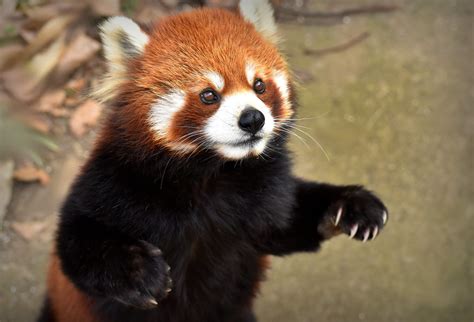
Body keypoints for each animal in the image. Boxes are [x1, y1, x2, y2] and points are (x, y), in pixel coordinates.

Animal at [36, 1, 386, 320]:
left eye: (259, 85)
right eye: (209, 95)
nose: (253, 119)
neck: (213, 175)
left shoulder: (264, 195)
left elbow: (286, 225)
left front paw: (349, 205)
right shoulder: (114, 181)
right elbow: (76, 244)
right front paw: (139, 272)